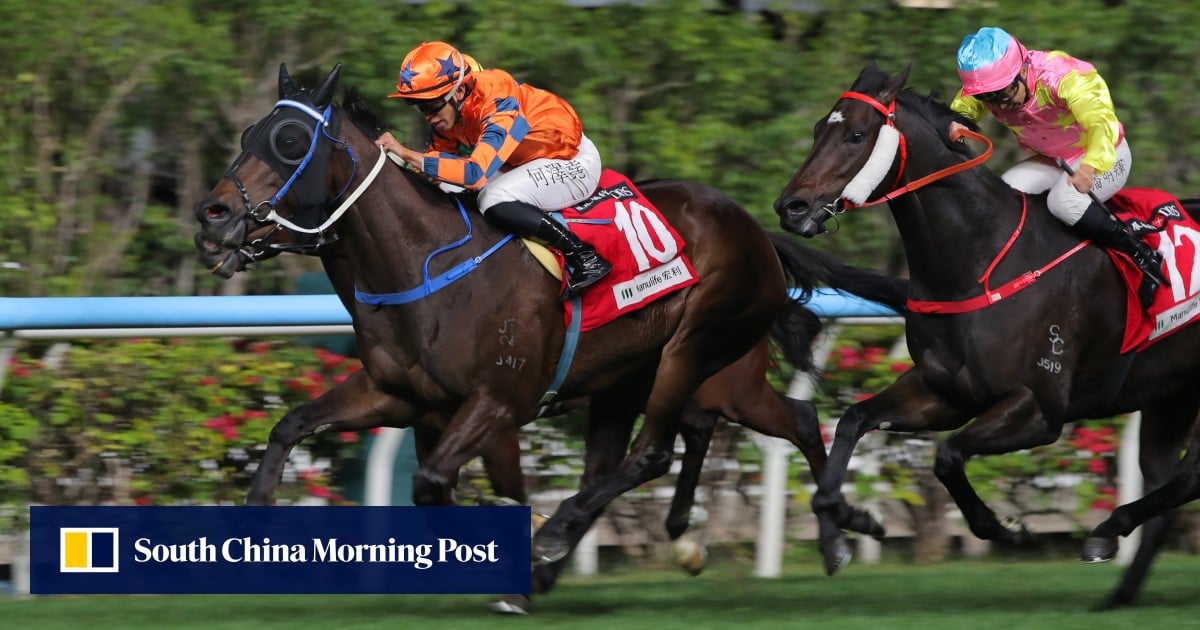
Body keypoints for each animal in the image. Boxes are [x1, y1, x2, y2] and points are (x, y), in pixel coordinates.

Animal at [194, 62, 907, 602]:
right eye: (250, 131)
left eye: (290, 141)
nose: (213, 215)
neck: (425, 264)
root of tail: (756, 228)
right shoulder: (399, 397)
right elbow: (292, 426)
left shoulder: (497, 403)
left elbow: (440, 484)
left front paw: (522, 565)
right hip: (667, 379)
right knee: (775, 421)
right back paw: (832, 533)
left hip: (698, 349)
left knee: (656, 451)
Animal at [771, 61, 1200, 609]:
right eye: (816, 130)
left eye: (855, 136)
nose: (790, 207)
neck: (979, 262)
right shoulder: (944, 393)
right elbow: (851, 421)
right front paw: (849, 523)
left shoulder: (1039, 409)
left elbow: (948, 455)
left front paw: (1007, 530)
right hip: (1170, 398)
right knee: (1172, 486)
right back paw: (1118, 590)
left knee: (1190, 477)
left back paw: (1105, 531)